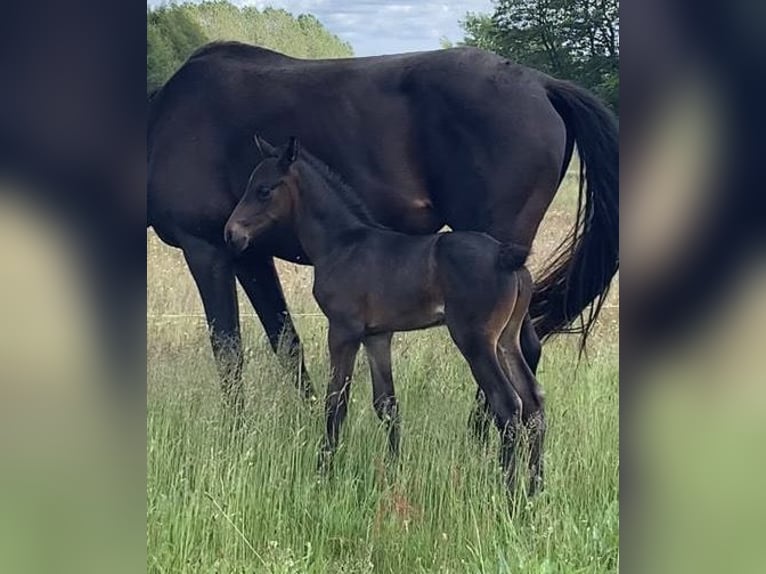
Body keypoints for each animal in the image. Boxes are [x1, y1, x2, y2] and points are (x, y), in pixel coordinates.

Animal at [226, 136, 544, 496]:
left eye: (264, 190)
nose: (231, 233)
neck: (341, 244)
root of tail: (506, 256)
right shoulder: (377, 336)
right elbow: (387, 405)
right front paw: (393, 472)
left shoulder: (343, 331)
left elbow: (335, 403)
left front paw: (323, 474)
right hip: (506, 339)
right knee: (533, 403)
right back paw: (535, 490)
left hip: (476, 341)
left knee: (508, 405)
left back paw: (509, 492)